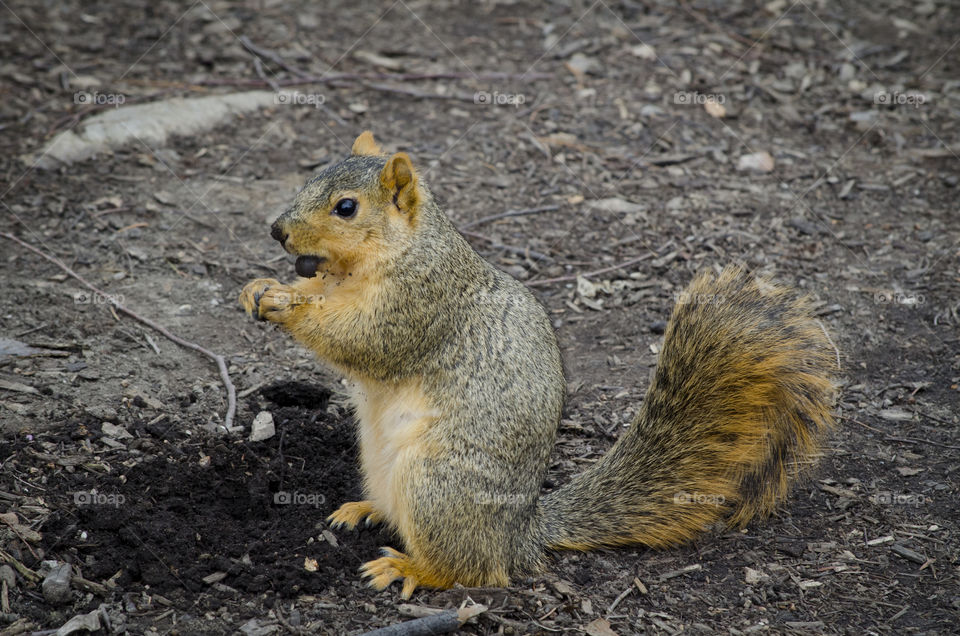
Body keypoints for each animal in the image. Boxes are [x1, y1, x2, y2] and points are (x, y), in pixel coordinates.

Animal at [239, 131, 838, 599]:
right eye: (312, 176)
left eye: (346, 207)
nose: (276, 230)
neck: (390, 254)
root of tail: (519, 532)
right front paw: (262, 287)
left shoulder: (419, 303)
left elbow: (362, 339)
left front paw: (288, 303)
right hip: (382, 464)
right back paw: (365, 511)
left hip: (438, 483)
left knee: (475, 570)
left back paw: (410, 568)